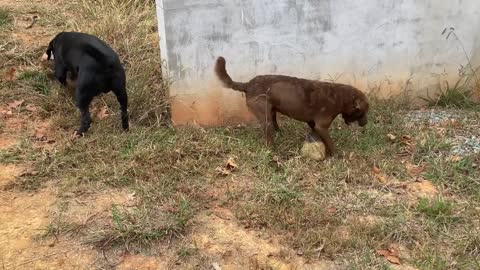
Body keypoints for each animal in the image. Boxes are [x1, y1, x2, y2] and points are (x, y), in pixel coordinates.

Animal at [216, 56, 370, 156]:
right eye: (363, 112)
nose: (366, 124)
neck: (340, 98)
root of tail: (248, 84)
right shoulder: (322, 126)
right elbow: (330, 142)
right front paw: (337, 155)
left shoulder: (313, 123)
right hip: (264, 115)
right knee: (269, 135)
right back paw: (273, 151)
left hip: (271, 110)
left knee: (274, 124)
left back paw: (280, 134)